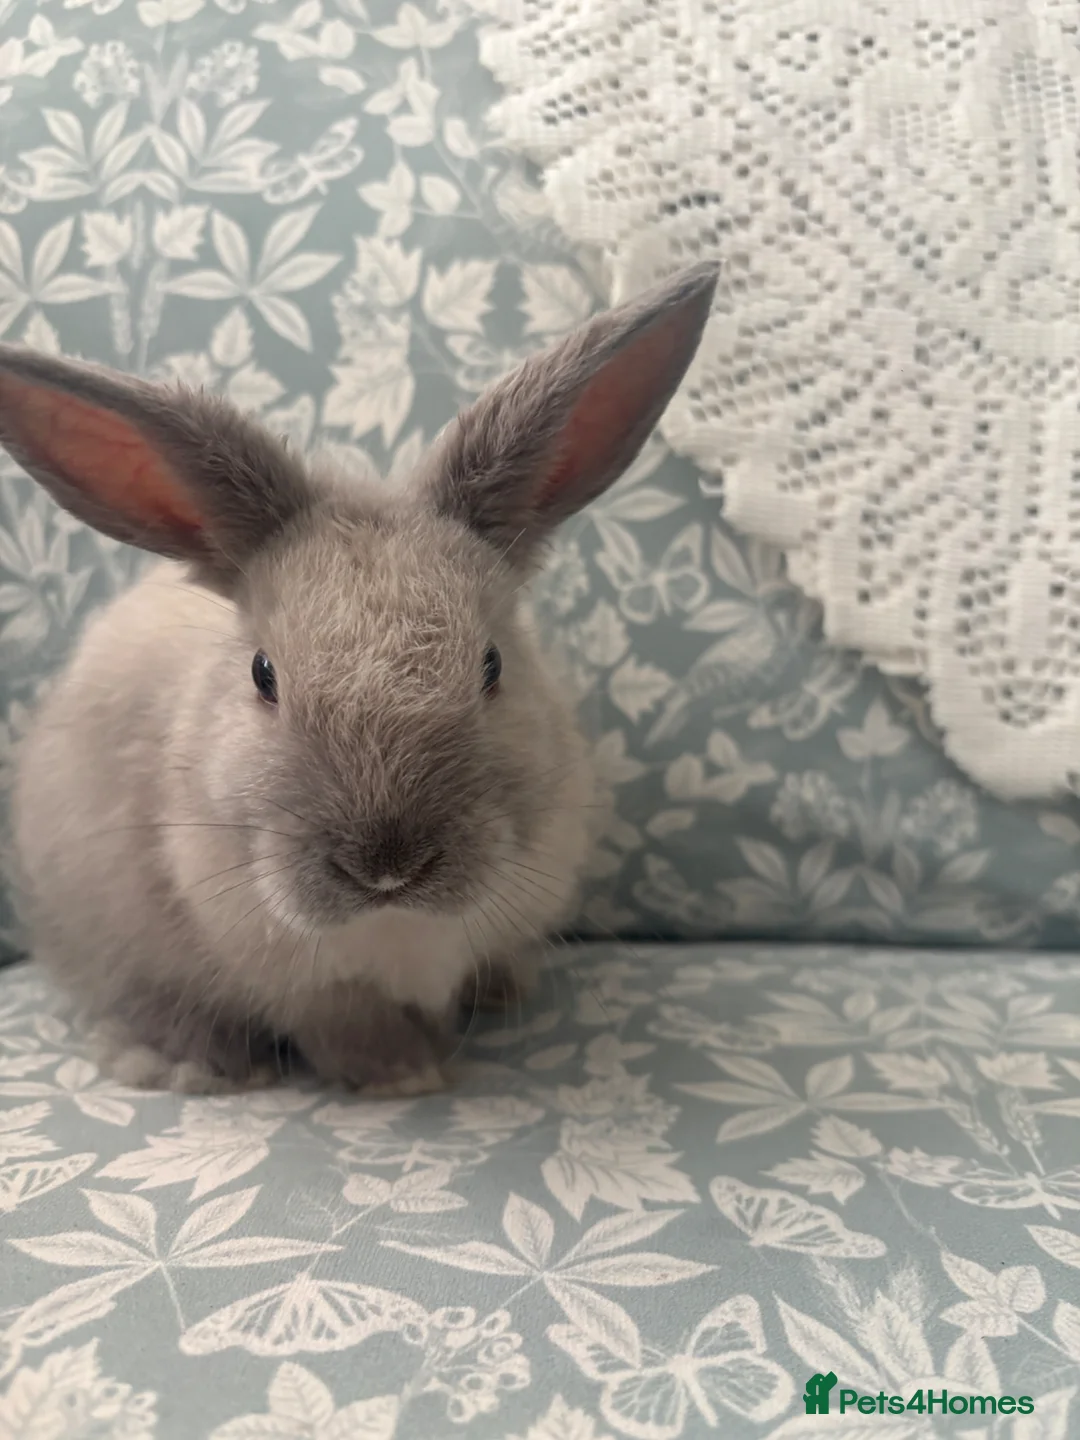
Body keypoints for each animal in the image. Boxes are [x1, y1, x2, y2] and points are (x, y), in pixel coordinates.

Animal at [0, 260, 718, 1095]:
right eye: (264, 675)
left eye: (492, 665)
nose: (385, 866)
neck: (393, 922)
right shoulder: (299, 984)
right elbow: (348, 1031)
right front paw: (407, 1077)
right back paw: (185, 1065)